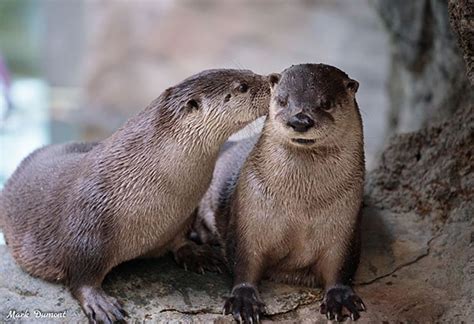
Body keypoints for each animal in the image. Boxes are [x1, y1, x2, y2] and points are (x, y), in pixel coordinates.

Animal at [0, 69, 274, 324]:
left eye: (249, 71)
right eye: (242, 86)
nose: (273, 78)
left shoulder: (183, 215)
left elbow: (180, 240)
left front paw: (197, 253)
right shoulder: (88, 220)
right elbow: (80, 274)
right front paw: (99, 303)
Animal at [194, 63, 364, 322]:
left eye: (326, 103)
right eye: (282, 100)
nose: (300, 120)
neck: (301, 206)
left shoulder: (346, 224)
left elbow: (340, 265)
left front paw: (340, 298)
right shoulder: (248, 217)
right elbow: (244, 260)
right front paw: (244, 300)